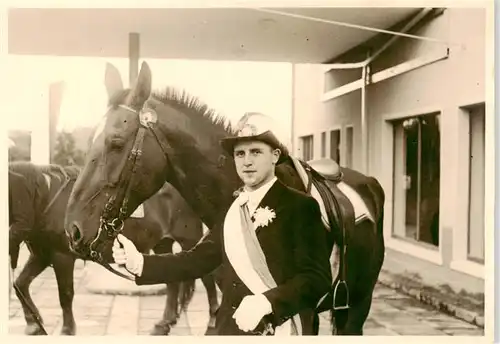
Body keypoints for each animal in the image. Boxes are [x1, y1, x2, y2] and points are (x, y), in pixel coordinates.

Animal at [7, 162, 219, 336]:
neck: (46, 197)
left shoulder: (62, 257)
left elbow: (65, 295)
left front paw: (67, 330)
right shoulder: (41, 255)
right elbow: (20, 284)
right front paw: (33, 324)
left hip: (190, 240)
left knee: (207, 276)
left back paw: (213, 320)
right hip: (162, 244)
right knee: (172, 281)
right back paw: (164, 324)